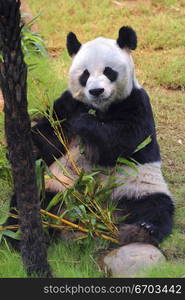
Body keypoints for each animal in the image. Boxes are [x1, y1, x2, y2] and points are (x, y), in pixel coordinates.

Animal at [5, 26, 173, 246]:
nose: (96, 91)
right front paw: (27, 149)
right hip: (55, 184)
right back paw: (19, 236)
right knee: (31, 205)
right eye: (85, 74)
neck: (100, 107)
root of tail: (93, 210)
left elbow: (127, 139)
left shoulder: (136, 103)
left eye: (109, 71)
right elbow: (50, 134)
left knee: (155, 207)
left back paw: (142, 230)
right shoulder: (68, 104)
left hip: (137, 186)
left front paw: (85, 123)